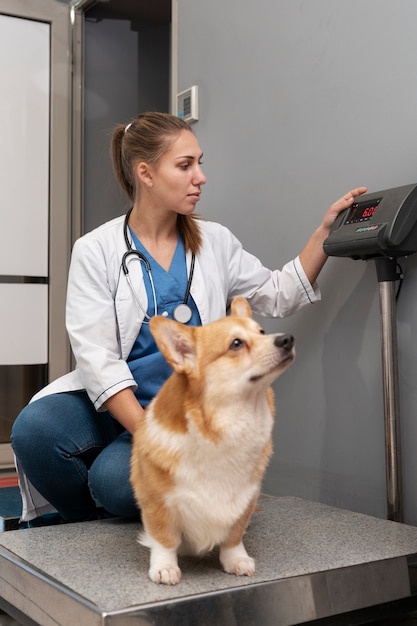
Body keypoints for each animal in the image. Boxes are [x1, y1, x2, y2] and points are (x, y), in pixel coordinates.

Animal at [128, 294, 294, 584]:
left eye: (262, 332)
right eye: (236, 344)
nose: (287, 339)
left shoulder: (245, 499)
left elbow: (233, 537)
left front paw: (236, 560)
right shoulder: (158, 501)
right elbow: (164, 538)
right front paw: (164, 567)